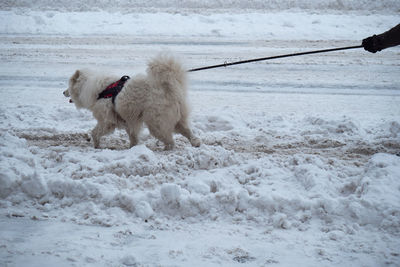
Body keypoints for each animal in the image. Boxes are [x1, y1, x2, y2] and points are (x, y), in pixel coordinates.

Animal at [64, 55, 202, 151]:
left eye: (68, 86)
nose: (63, 92)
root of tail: (169, 89)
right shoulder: (128, 120)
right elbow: (133, 136)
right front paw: (133, 148)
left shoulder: (107, 121)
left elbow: (95, 132)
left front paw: (96, 145)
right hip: (176, 119)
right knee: (187, 131)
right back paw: (196, 143)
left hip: (155, 122)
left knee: (170, 140)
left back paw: (166, 149)